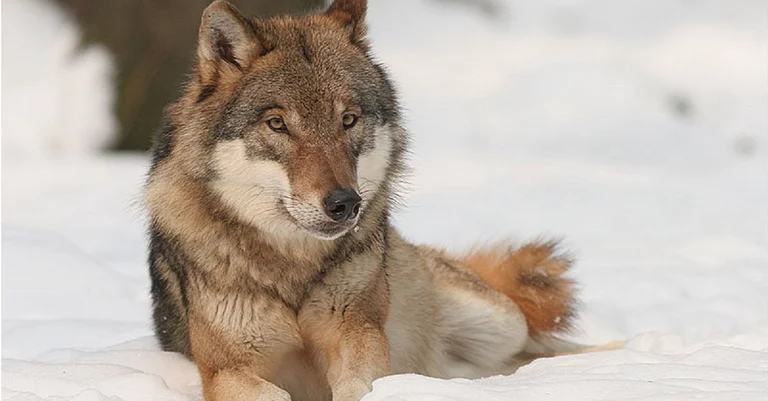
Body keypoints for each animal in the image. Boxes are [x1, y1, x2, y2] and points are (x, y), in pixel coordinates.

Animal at [144, 1, 622, 400]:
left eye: (348, 120)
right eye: (277, 124)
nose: (344, 204)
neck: (293, 269)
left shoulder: (360, 333)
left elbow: (360, 383)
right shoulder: (226, 369)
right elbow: (270, 393)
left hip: (501, 322)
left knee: (548, 348)